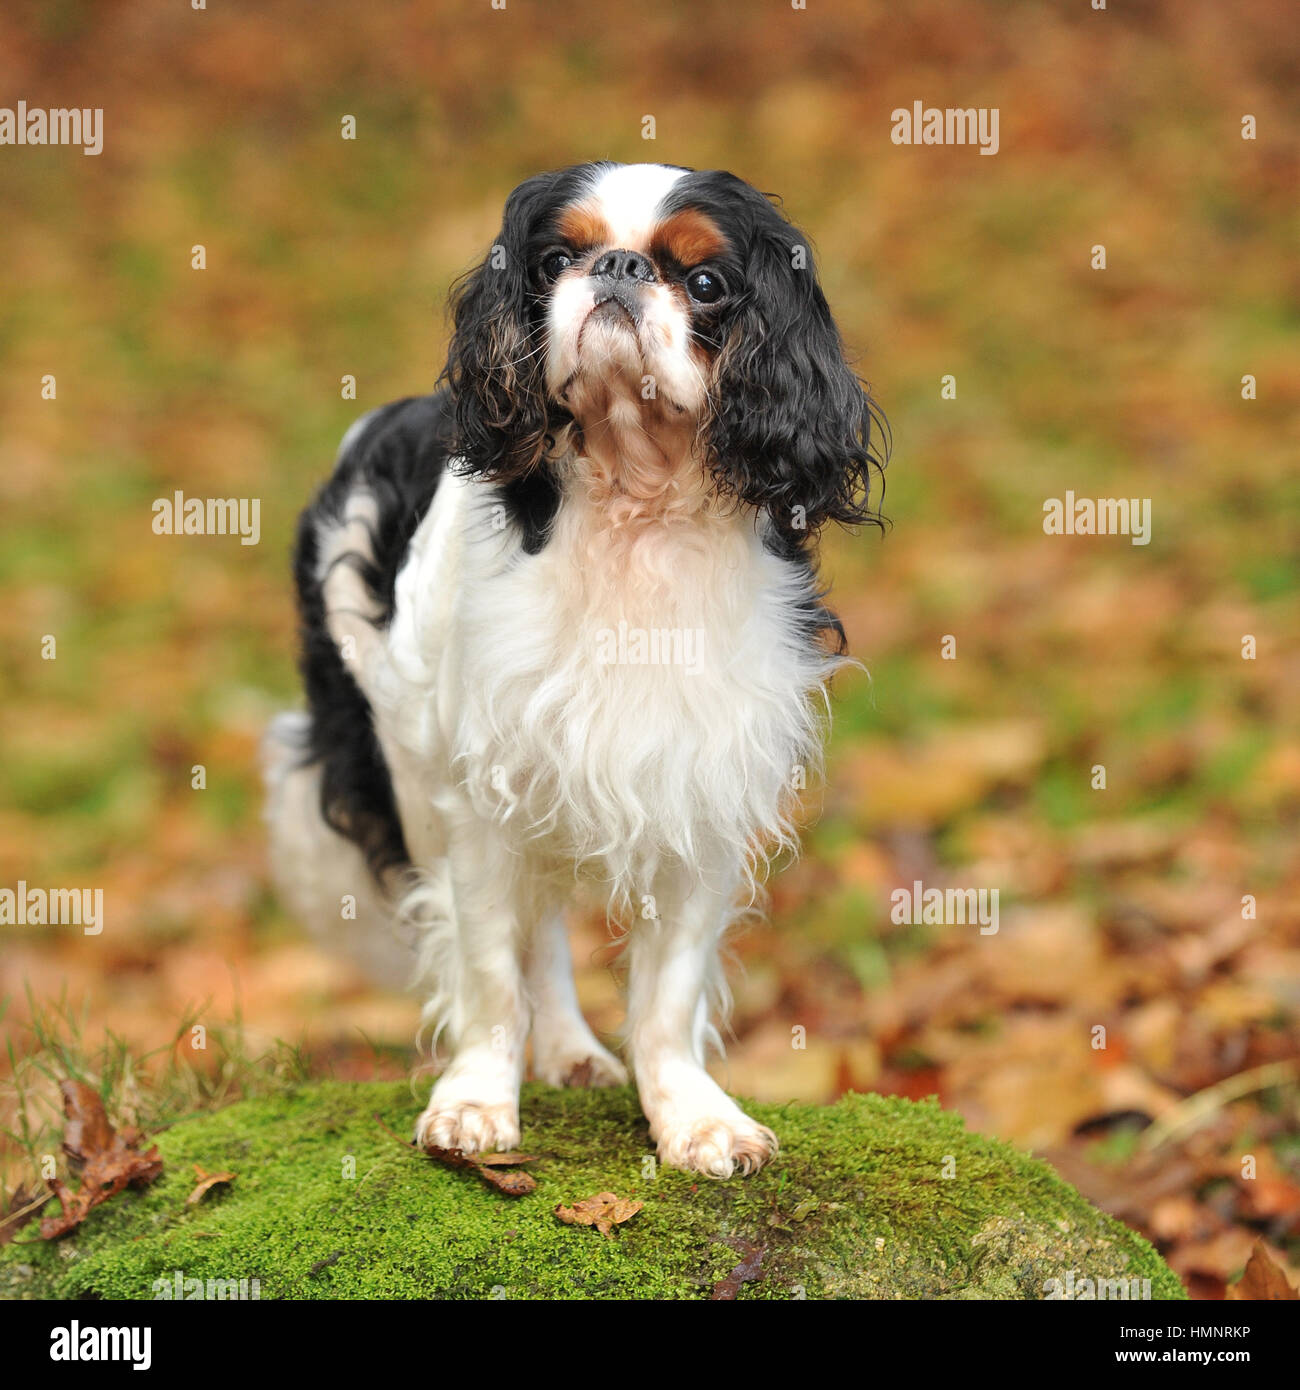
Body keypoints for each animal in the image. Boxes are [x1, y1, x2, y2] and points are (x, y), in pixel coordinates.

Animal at [269, 168, 889, 1178]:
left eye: (706, 283)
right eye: (556, 258)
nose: (619, 268)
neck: (634, 498)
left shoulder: (701, 787)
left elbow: (668, 993)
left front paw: (692, 1119)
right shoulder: (479, 790)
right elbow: (489, 967)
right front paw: (477, 1102)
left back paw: (569, 1054)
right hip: (410, 767)